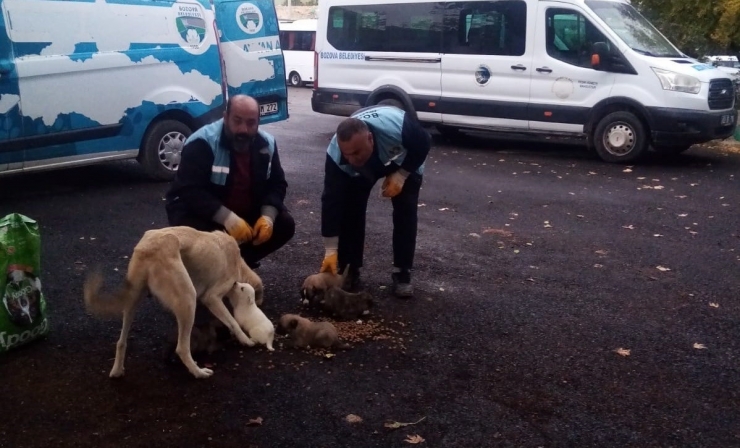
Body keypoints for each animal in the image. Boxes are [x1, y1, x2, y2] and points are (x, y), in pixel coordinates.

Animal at [83, 228, 262, 378]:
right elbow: (233, 322)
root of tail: (147, 248)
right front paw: (245, 340)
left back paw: (117, 370)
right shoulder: (212, 297)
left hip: (132, 301)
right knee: (182, 348)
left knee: (121, 341)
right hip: (188, 299)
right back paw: (198, 372)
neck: (239, 264)